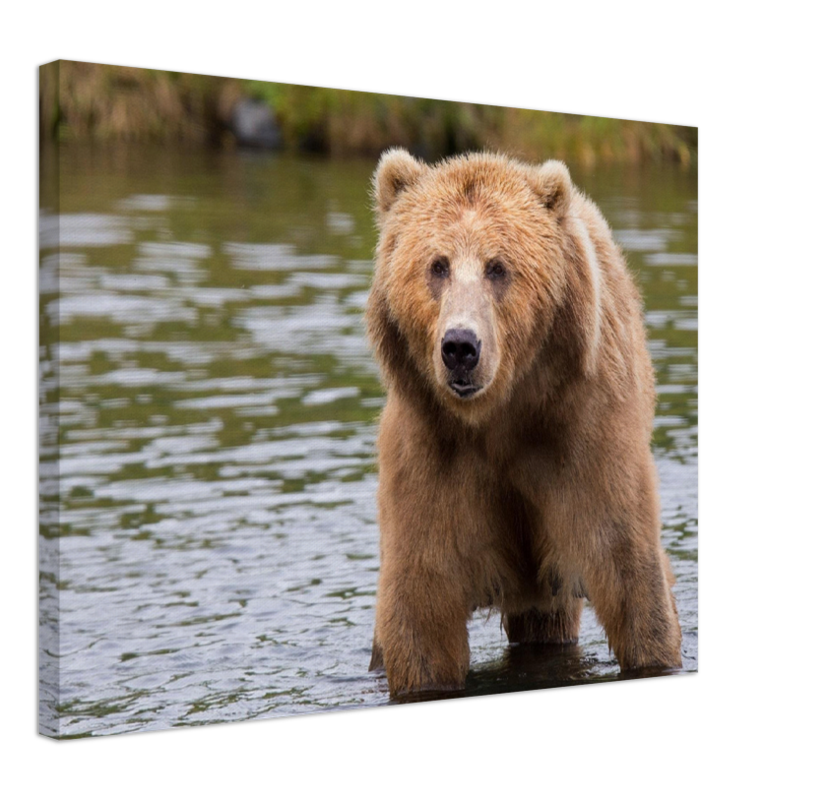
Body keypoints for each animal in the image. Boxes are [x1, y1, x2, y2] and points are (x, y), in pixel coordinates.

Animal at [365, 148, 682, 696]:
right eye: (437, 266)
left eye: (498, 267)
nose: (460, 347)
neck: (501, 415)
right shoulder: (431, 454)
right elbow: (421, 609)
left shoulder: (584, 436)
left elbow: (630, 573)